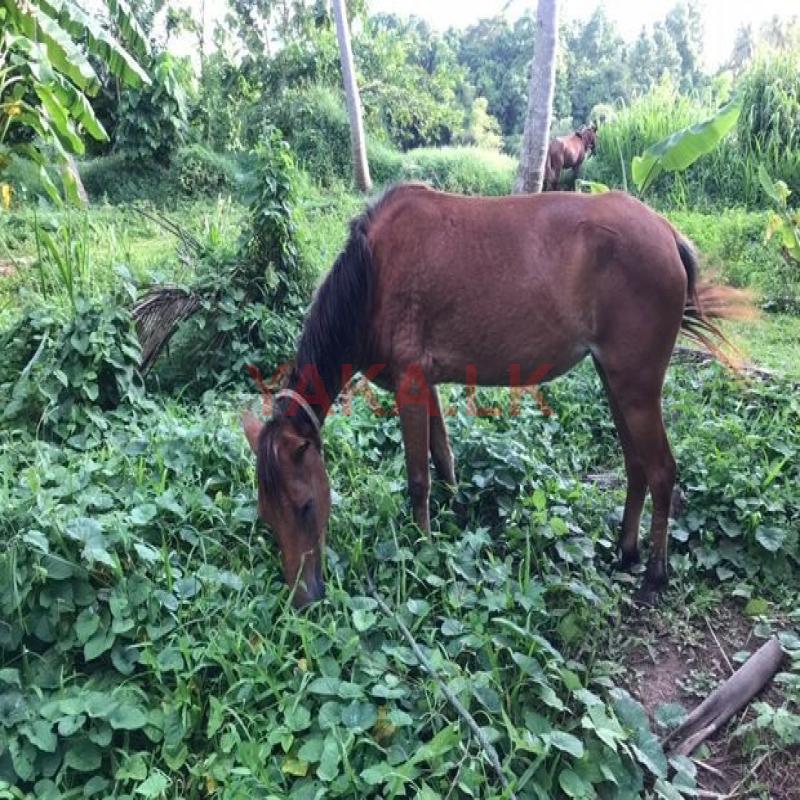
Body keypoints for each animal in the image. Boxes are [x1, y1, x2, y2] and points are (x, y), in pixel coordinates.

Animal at [242, 183, 750, 609]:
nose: (303, 600)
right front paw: (452, 516)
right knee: (636, 466)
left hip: (637, 387)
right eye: (266, 515)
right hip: (616, 380)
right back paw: (627, 552)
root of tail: (665, 232)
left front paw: (422, 547)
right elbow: (443, 456)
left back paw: (656, 576)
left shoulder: (410, 383)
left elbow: (418, 478)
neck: (372, 274)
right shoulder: (425, 383)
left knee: (662, 471)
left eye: (306, 506)